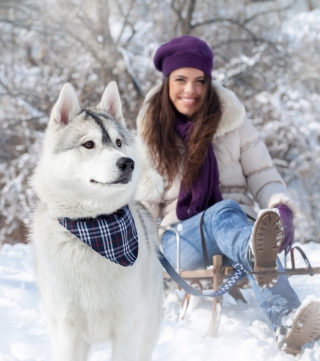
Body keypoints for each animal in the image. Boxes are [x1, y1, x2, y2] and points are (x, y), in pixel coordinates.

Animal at [29, 82, 164, 360]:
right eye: (89, 144)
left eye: (119, 142)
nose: (128, 163)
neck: (93, 226)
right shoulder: (67, 331)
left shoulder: (127, 330)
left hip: (148, 329)